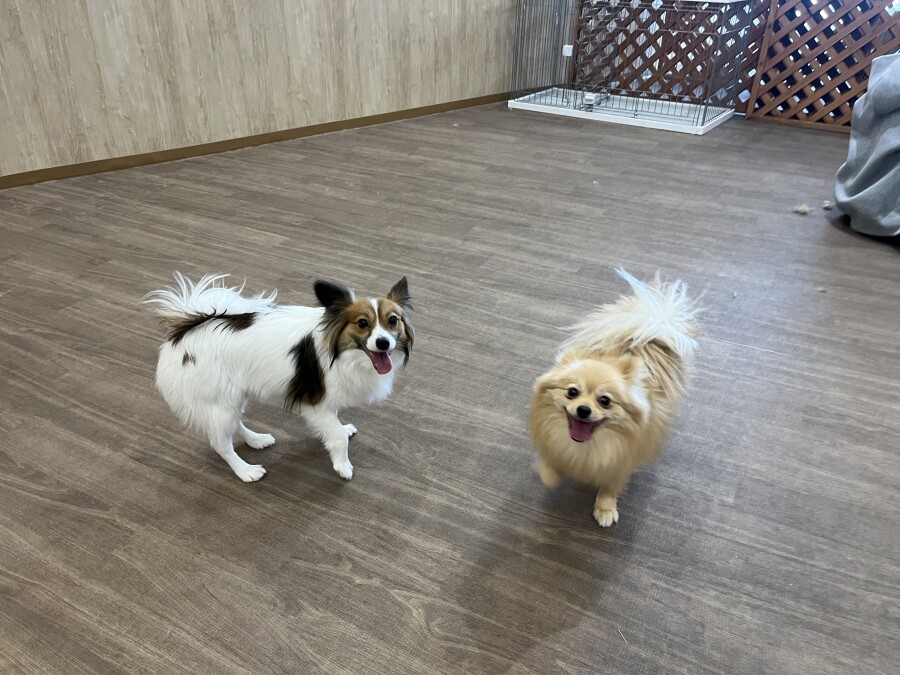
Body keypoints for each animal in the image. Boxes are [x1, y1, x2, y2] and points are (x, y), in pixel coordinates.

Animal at [144, 273, 413, 482]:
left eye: (393, 321)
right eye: (362, 323)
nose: (383, 343)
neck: (341, 350)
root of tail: (184, 332)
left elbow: (335, 424)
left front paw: (343, 428)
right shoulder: (315, 403)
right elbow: (336, 436)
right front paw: (342, 466)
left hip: (232, 399)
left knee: (234, 425)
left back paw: (257, 440)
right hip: (219, 402)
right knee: (221, 444)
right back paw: (246, 471)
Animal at [530, 269, 699, 527]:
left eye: (605, 400)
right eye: (572, 392)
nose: (583, 410)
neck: (587, 446)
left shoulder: (621, 462)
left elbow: (610, 487)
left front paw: (605, 509)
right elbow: (549, 469)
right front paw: (550, 476)